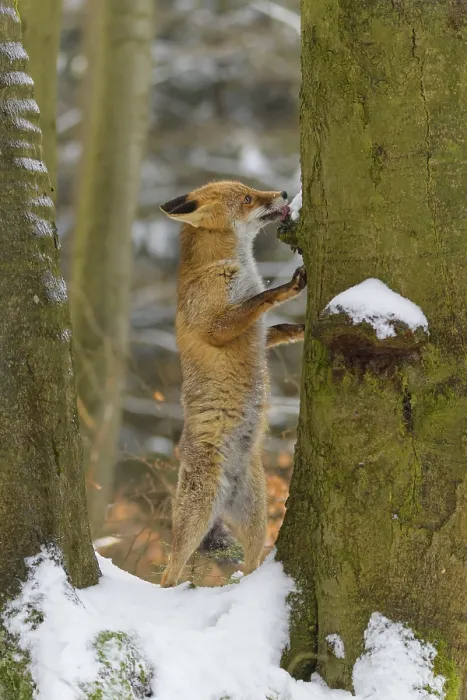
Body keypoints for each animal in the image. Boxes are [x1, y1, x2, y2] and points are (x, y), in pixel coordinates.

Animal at [159, 180, 306, 587]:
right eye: (247, 199)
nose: (284, 194)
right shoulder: (216, 326)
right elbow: (258, 301)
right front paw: (286, 289)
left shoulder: (257, 334)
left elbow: (274, 329)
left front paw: (301, 330)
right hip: (196, 518)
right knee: (170, 571)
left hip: (256, 518)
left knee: (253, 562)